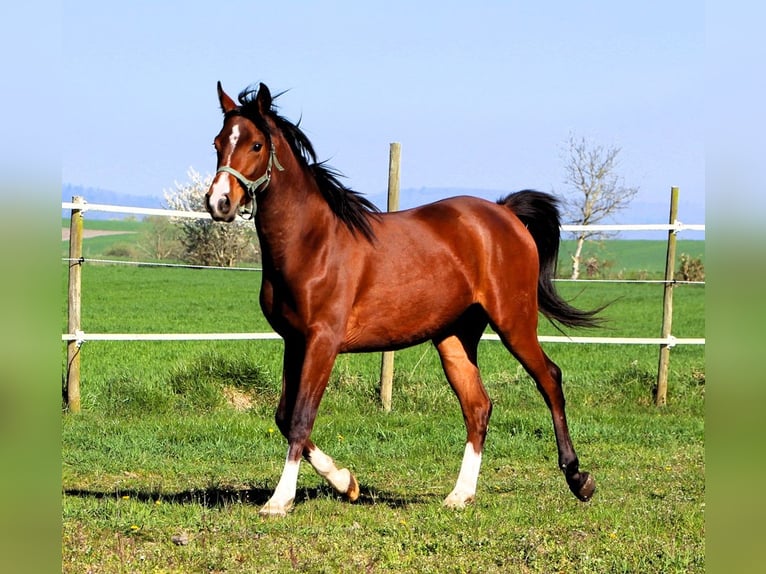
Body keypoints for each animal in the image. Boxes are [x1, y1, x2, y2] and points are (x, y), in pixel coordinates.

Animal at [205, 82, 602, 516]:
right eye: (218, 143)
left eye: (257, 144)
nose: (219, 202)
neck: (312, 243)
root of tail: (504, 213)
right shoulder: (294, 342)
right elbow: (282, 416)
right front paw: (347, 483)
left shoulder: (322, 341)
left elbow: (299, 418)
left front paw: (280, 500)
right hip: (454, 336)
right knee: (478, 406)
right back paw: (460, 495)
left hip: (514, 320)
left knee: (549, 379)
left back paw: (578, 479)